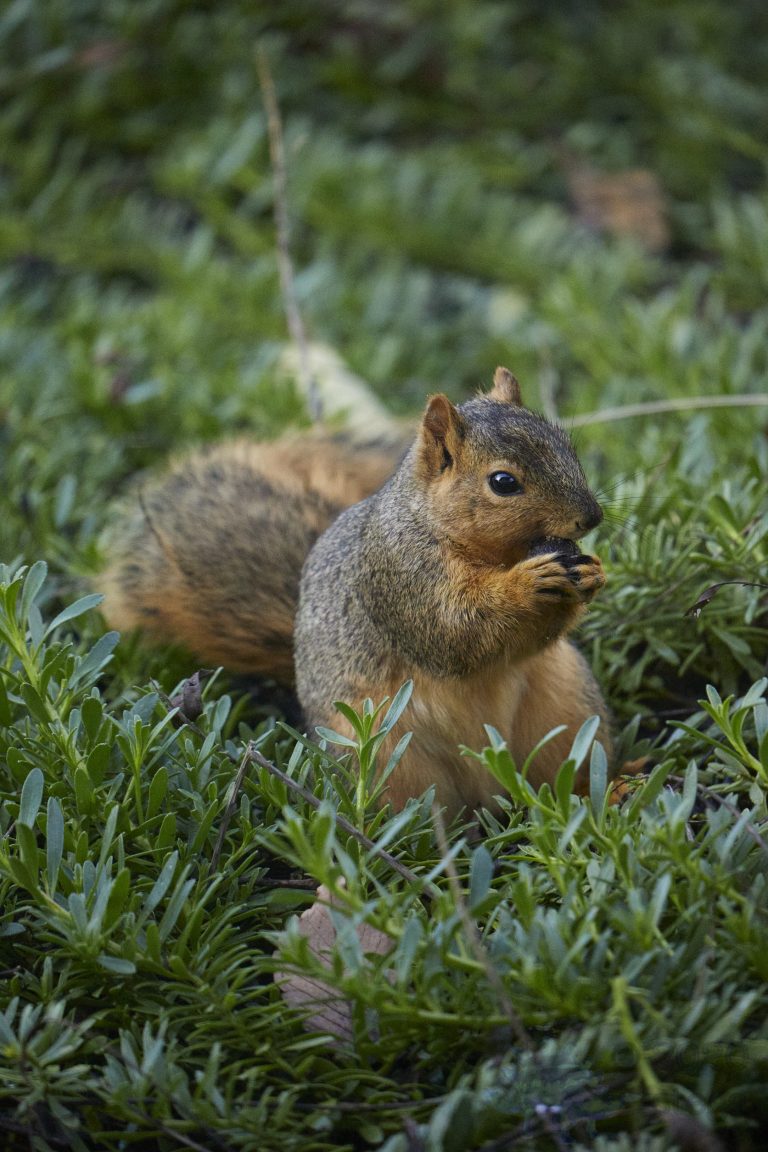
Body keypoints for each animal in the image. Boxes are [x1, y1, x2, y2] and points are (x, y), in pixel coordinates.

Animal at [101, 367, 613, 816]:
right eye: (503, 482)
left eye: (566, 445)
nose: (591, 517)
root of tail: (487, 788)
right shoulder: (399, 577)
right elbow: (455, 634)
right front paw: (529, 584)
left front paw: (593, 573)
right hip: (386, 757)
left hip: (567, 713)